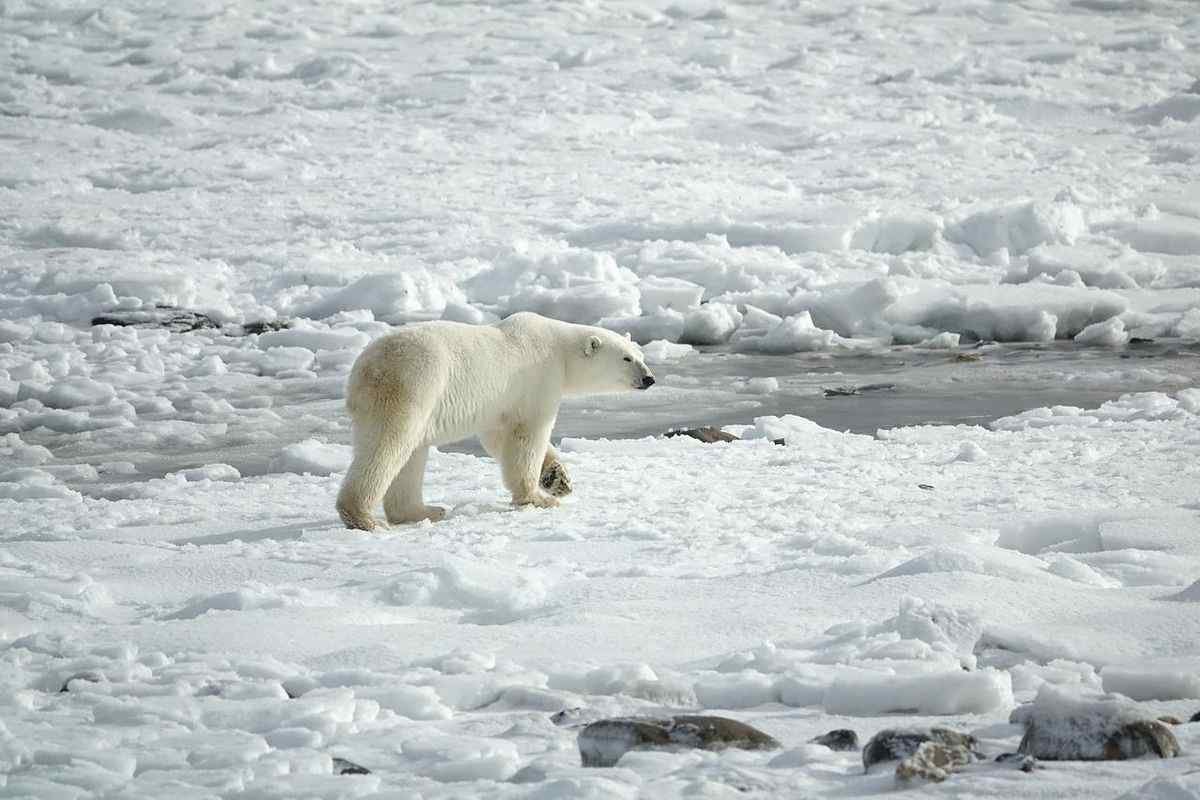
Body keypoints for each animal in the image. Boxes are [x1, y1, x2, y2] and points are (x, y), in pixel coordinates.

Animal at [336, 312, 656, 531]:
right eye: (626, 359)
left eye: (640, 354)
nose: (649, 378)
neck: (559, 350)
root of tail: (364, 369)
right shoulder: (537, 379)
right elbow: (528, 435)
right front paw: (538, 497)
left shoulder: (498, 403)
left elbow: (498, 437)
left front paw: (558, 479)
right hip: (412, 385)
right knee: (389, 445)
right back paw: (364, 518)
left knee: (411, 453)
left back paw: (425, 511)